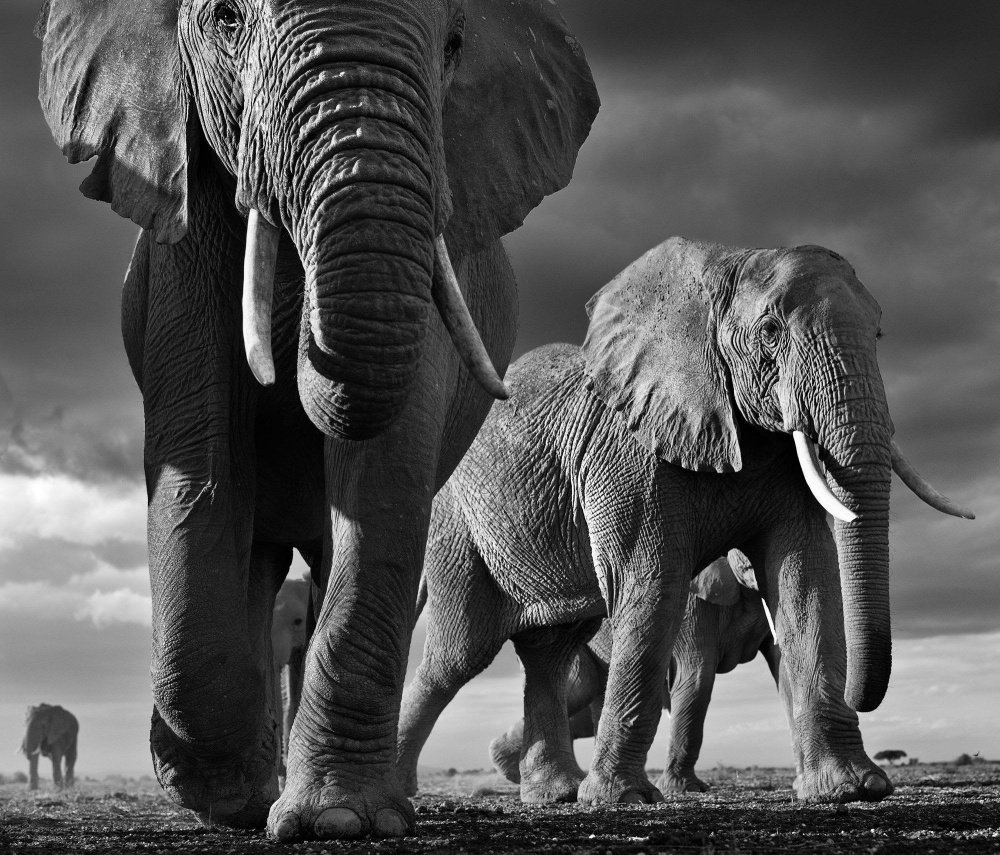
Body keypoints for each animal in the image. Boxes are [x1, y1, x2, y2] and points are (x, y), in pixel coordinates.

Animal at [37, 0, 598, 839]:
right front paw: (223, 796)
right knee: (256, 557)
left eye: (454, 44)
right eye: (226, 20)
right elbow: (203, 462)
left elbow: (383, 469)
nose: (298, 341)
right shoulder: (184, 230)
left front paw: (338, 819)